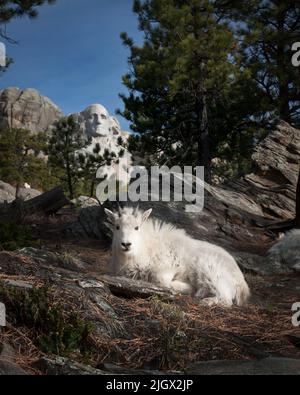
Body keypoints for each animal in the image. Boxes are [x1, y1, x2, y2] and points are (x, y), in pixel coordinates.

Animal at [104, 207, 250, 310]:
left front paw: (186, 287)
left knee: (226, 299)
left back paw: (205, 300)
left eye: (136, 227)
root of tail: (242, 283)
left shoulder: (170, 266)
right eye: (117, 227)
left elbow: (160, 280)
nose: (126, 244)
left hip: (210, 270)